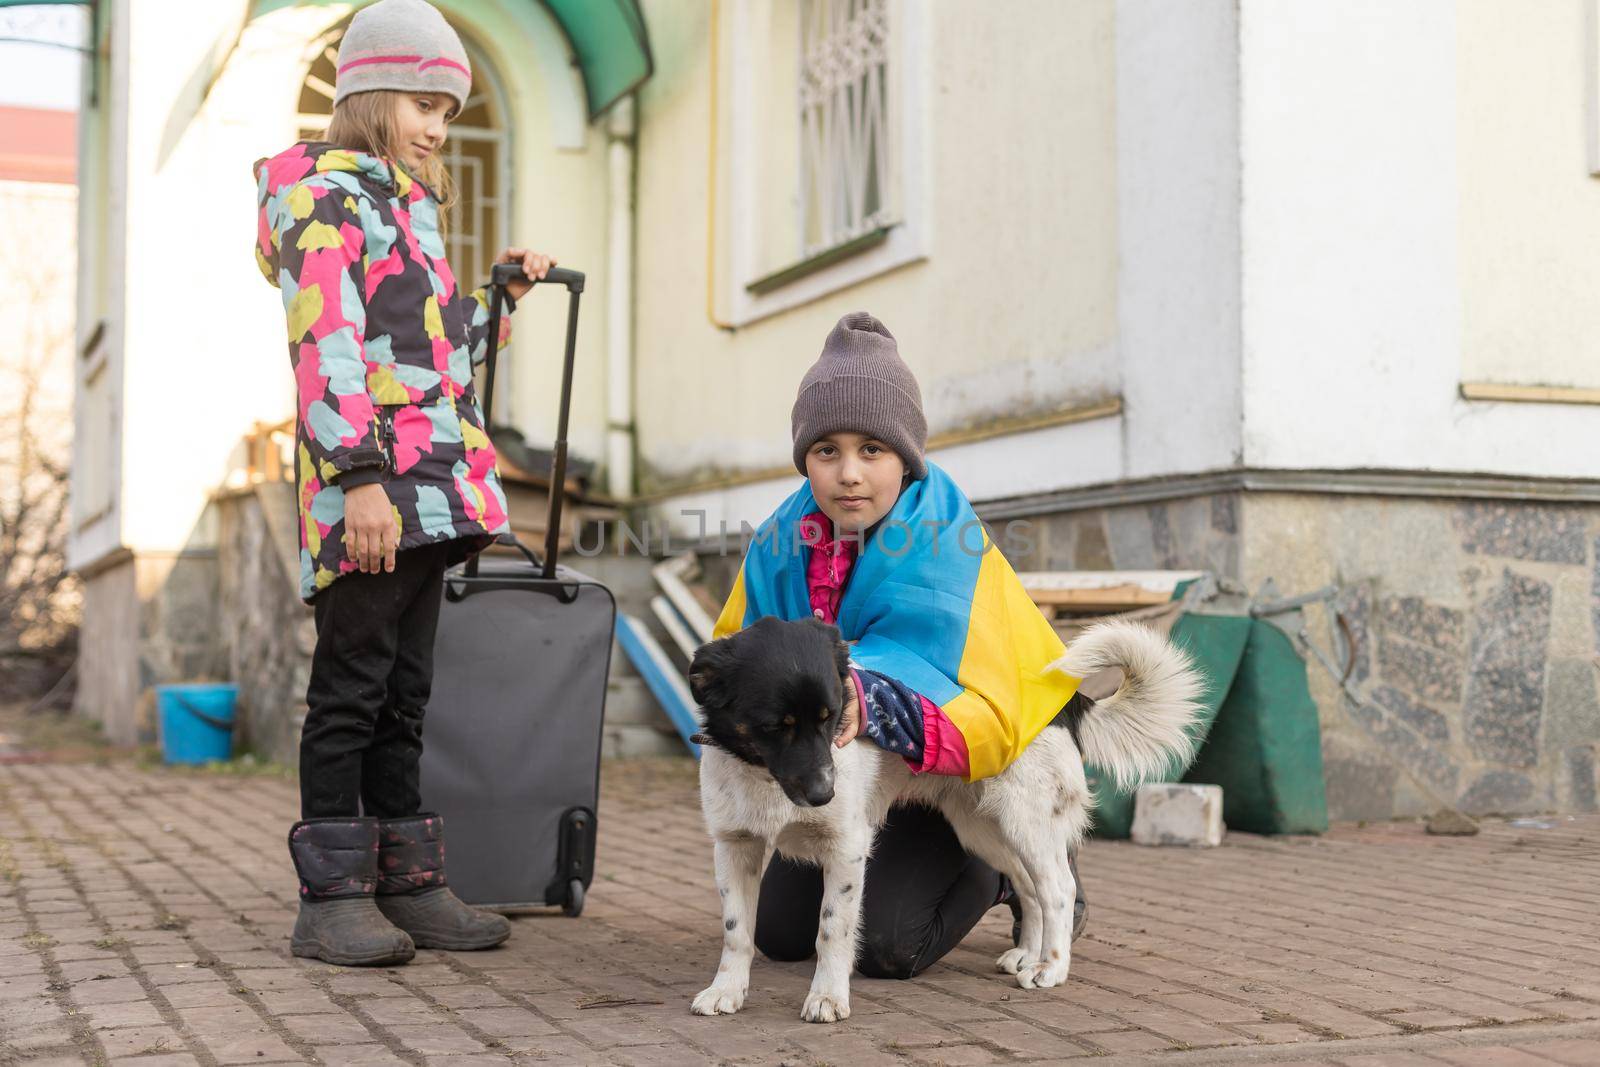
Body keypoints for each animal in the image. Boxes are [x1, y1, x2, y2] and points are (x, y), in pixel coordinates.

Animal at [688, 617, 1203, 1023]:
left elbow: (832, 928)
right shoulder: (734, 845)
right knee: (1027, 886)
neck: (765, 778)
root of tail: (1063, 704)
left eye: (832, 717)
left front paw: (828, 998)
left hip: (1025, 820)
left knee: (1059, 887)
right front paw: (726, 990)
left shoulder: (847, 847)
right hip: (985, 828)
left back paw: (1051, 968)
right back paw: (1027, 954)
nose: (823, 794)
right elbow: (736, 931)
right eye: (776, 726)